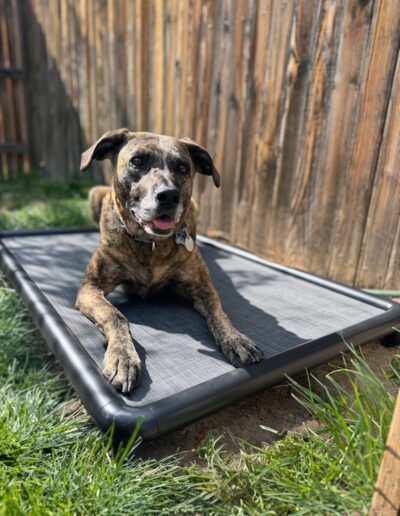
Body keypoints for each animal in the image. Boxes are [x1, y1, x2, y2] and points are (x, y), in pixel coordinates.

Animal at [76, 129, 264, 392]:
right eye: (137, 161)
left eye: (182, 167)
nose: (168, 195)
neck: (150, 244)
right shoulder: (90, 288)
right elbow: (115, 315)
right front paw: (123, 356)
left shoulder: (204, 289)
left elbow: (219, 313)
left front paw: (236, 339)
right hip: (95, 194)